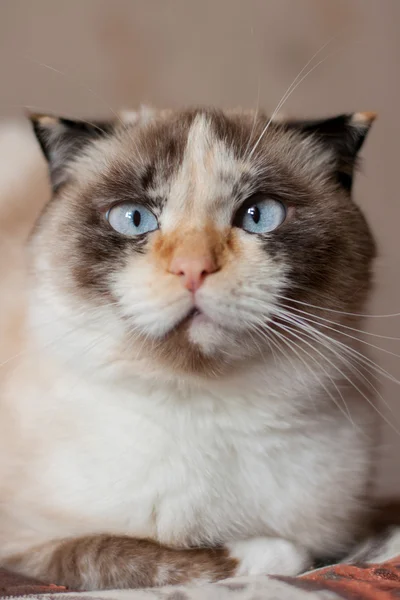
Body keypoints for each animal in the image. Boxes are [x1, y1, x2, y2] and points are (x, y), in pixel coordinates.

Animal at [0, 106, 378, 592]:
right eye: (134, 219)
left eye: (258, 215)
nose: (193, 269)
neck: (204, 404)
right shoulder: (24, 549)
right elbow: (134, 554)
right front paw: (271, 551)